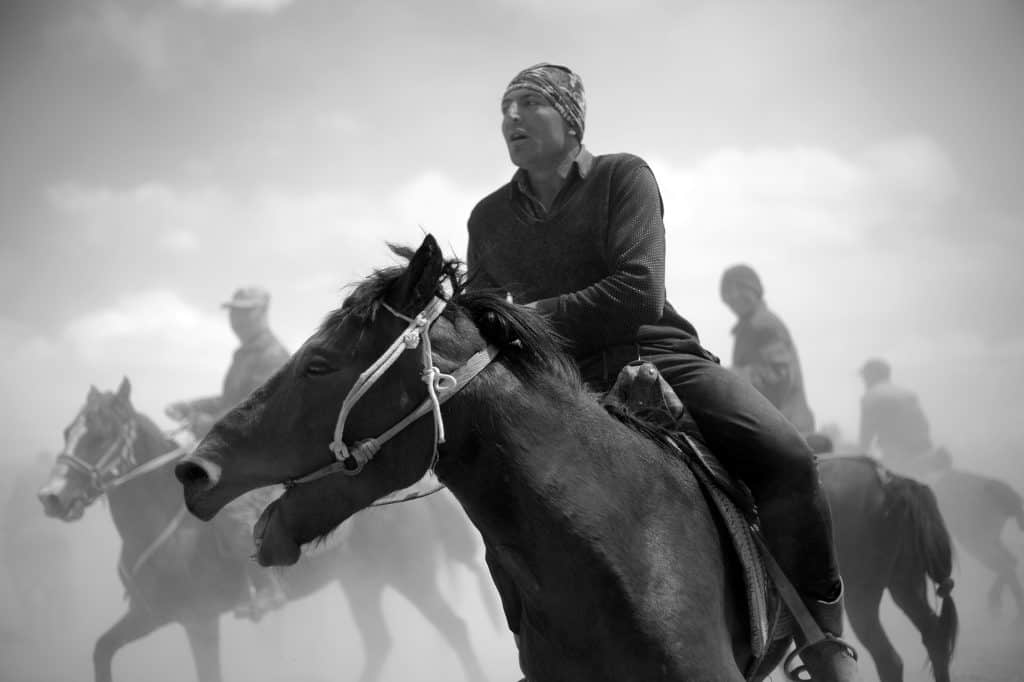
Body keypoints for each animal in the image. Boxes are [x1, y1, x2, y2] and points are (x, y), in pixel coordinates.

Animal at [38, 376, 487, 679]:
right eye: (67, 431)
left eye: (99, 435)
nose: (50, 497)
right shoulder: (151, 614)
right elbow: (102, 650)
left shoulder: (200, 621)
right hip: (362, 584)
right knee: (380, 643)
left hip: (410, 577)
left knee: (456, 629)